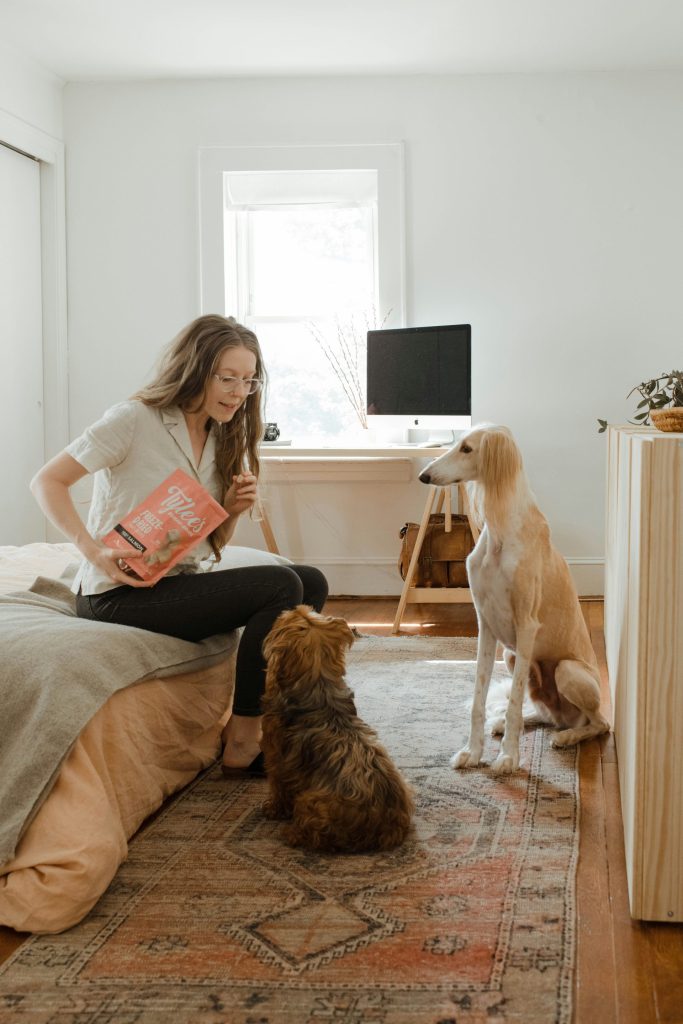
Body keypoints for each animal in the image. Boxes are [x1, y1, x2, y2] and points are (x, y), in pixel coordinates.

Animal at [419, 419, 610, 770]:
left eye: (467, 448)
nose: (424, 476)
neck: (500, 535)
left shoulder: (526, 626)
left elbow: (513, 702)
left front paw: (508, 757)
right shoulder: (485, 625)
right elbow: (480, 698)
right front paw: (473, 751)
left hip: (568, 671)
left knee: (599, 723)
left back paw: (567, 737)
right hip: (509, 656)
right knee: (545, 714)